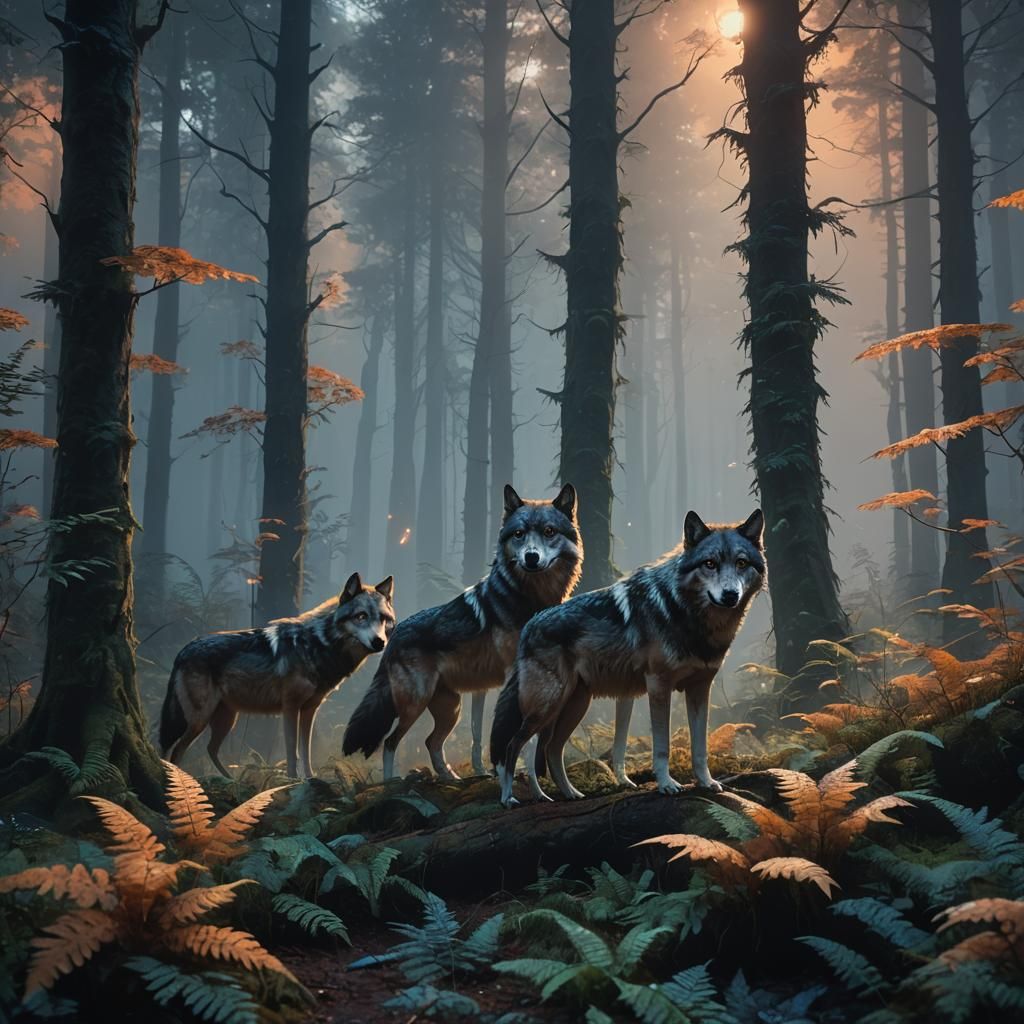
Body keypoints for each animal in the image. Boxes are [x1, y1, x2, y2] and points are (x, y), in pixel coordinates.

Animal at [159, 573, 396, 779]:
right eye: (361, 616)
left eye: (384, 619)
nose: (380, 642)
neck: (318, 644)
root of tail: (183, 650)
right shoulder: (290, 707)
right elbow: (292, 751)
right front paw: (292, 779)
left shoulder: (310, 709)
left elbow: (306, 751)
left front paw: (310, 778)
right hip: (199, 719)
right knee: (176, 749)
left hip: (227, 719)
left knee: (210, 749)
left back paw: (229, 780)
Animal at [342, 484, 582, 780]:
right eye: (519, 534)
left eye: (549, 531)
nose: (531, 557)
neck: (530, 597)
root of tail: (392, 635)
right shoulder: (511, 675)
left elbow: (483, 732)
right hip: (416, 703)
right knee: (390, 741)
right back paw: (391, 783)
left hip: (451, 708)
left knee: (430, 742)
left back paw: (449, 778)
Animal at [491, 509, 765, 807]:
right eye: (710, 564)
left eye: (741, 563)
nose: (730, 595)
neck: (689, 616)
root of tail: (529, 626)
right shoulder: (658, 685)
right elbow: (662, 746)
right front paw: (667, 785)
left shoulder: (700, 690)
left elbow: (700, 746)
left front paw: (706, 783)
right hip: (548, 705)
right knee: (513, 746)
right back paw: (508, 798)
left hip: (573, 705)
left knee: (551, 749)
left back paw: (570, 794)